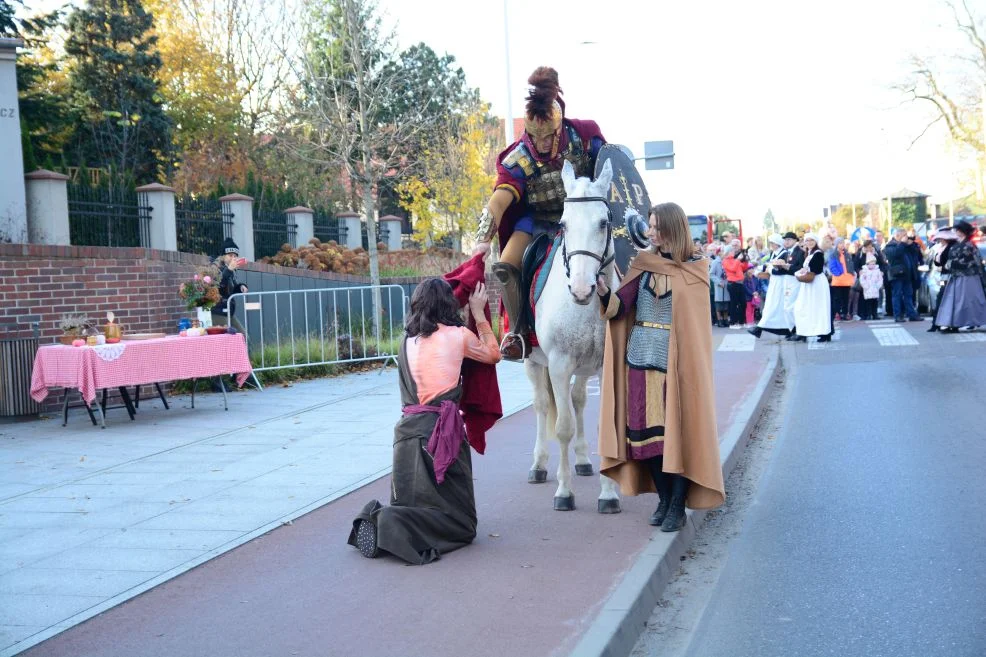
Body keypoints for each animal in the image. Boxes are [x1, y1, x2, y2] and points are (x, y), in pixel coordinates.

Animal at [528, 159, 620, 512]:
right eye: (564, 225)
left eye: (604, 222)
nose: (582, 289)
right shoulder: (558, 364)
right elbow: (562, 426)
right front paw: (564, 493)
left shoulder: (606, 365)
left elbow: (603, 424)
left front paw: (609, 494)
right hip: (533, 362)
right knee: (542, 406)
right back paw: (539, 465)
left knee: (578, 399)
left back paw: (581, 461)